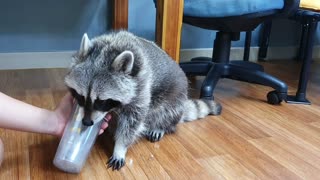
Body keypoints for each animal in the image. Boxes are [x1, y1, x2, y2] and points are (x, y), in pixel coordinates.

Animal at [63, 31, 221, 171]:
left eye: (101, 101)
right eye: (81, 96)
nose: (86, 122)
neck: (110, 45)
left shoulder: (141, 88)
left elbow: (132, 122)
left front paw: (120, 147)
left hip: (175, 97)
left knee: (166, 113)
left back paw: (161, 126)